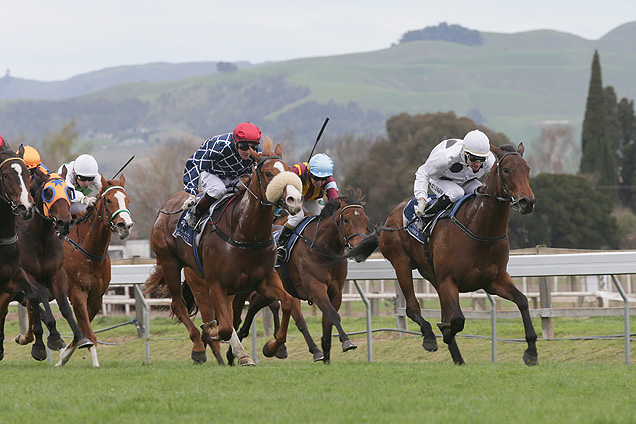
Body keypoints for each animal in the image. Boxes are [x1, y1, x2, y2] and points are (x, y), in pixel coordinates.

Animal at [57, 174, 133, 366]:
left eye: (127, 200)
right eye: (108, 200)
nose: (125, 226)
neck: (88, 250)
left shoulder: (96, 298)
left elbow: (83, 329)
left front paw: (63, 357)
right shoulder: (77, 293)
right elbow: (89, 332)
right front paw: (96, 364)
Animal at [145, 138, 304, 364]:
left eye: (290, 170)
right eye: (268, 173)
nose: (294, 199)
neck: (245, 234)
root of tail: (165, 208)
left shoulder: (263, 280)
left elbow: (288, 302)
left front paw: (272, 346)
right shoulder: (216, 284)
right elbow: (225, 327)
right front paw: (211, 332)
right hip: (171, 265)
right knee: (179, 305)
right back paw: (199, 347)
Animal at [230, 187, 370, 362]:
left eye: (365, 220)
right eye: (346, 220)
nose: (360, 248)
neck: (324, 249)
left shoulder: (336, 291)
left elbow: (328, 320)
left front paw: (326, 354)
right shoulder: (316, 288)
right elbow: (333, 314)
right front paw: (346, 341)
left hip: (269, 289)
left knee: (255, 306)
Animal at [348, 145, 536, 364]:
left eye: (527, 169)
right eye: (506, 170)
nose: (527, 202)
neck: (479, 229)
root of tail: (390, 219)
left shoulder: (494, 280)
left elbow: (522, 300)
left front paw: (531, 351)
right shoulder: (449, 280)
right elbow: (457, 319)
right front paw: (443, 333)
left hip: (432, 275)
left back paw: (458, 358)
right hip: (401, 263)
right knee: (413, 307)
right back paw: (429, 337)